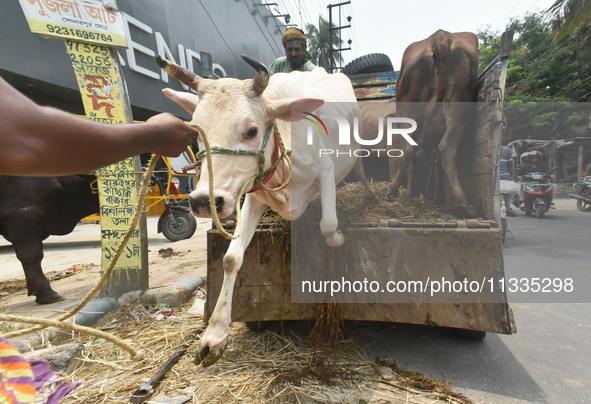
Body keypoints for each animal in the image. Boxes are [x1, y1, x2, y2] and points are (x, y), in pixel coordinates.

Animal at [157, 54, 370, 366]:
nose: (203, 201)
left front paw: (339, 238)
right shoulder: (253, 197)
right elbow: (231, 258)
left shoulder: (326, 170)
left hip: (356, 158)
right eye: (196, 131)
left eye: (252, 130)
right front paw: (214, 336)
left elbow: (328, 226)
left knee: (360, 173)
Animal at [388, 29, 480, 211]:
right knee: (447, 148)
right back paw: (462, 203)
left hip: (410, 113)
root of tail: (441, 38)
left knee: (408, 150)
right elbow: (437, 168)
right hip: (460, 106)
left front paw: (409, 195)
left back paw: (392, 190)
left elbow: (414, 167)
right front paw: (437, 197)